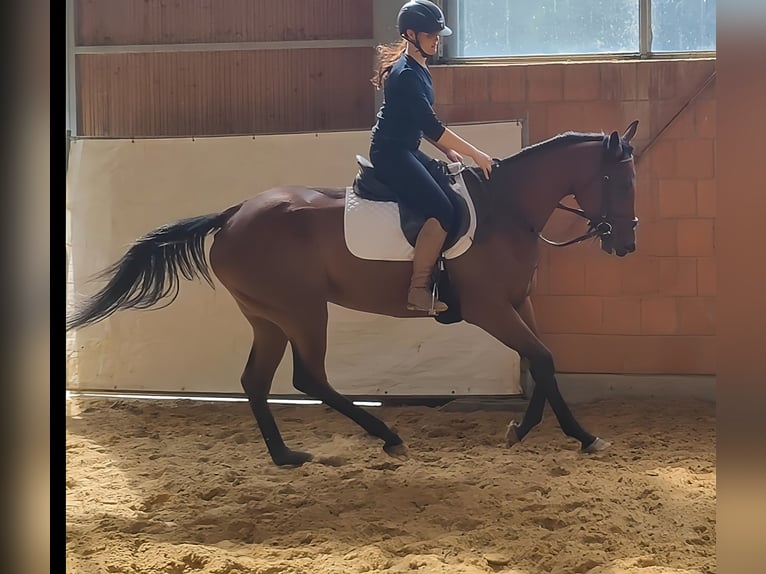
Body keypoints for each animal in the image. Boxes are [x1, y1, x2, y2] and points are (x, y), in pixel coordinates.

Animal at [67, 120, 640, 467]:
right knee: (307, 377)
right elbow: (540, 359)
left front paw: (533, 429)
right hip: (301, 310)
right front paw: (571, 434)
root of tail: (233, 215)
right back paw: (387, 437)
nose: (626, 243)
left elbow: (545, 362)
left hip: (268, 317)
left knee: (256, 380)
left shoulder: (519, 303)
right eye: (619, 182)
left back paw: (286, 456)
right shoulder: (490, 309)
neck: (507, 209)